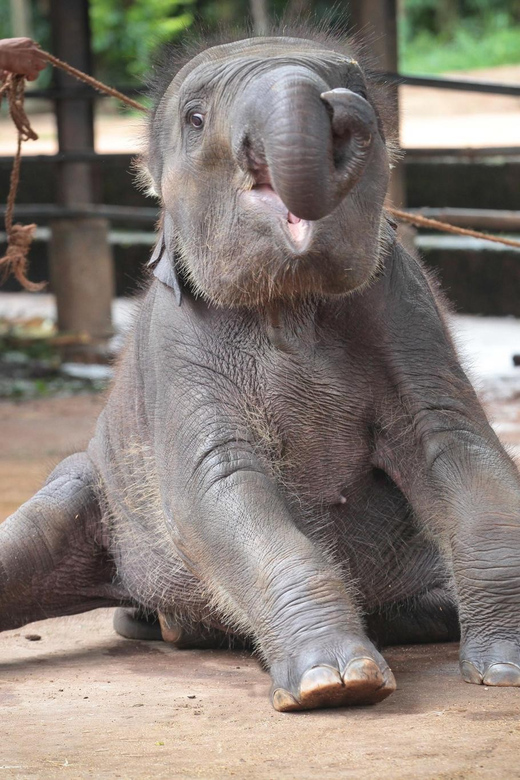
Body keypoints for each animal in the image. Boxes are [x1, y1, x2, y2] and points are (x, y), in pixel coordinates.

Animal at [1, 30, 520, 713]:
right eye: (195, 118)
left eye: (358, 87)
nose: (342, 105)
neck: (288, 304)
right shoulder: (177, 345)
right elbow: (218, 485)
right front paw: (336, 685)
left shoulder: (407, 308)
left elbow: (457, 447)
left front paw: (504, 670)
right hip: (90, 489)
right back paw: (170, 624)